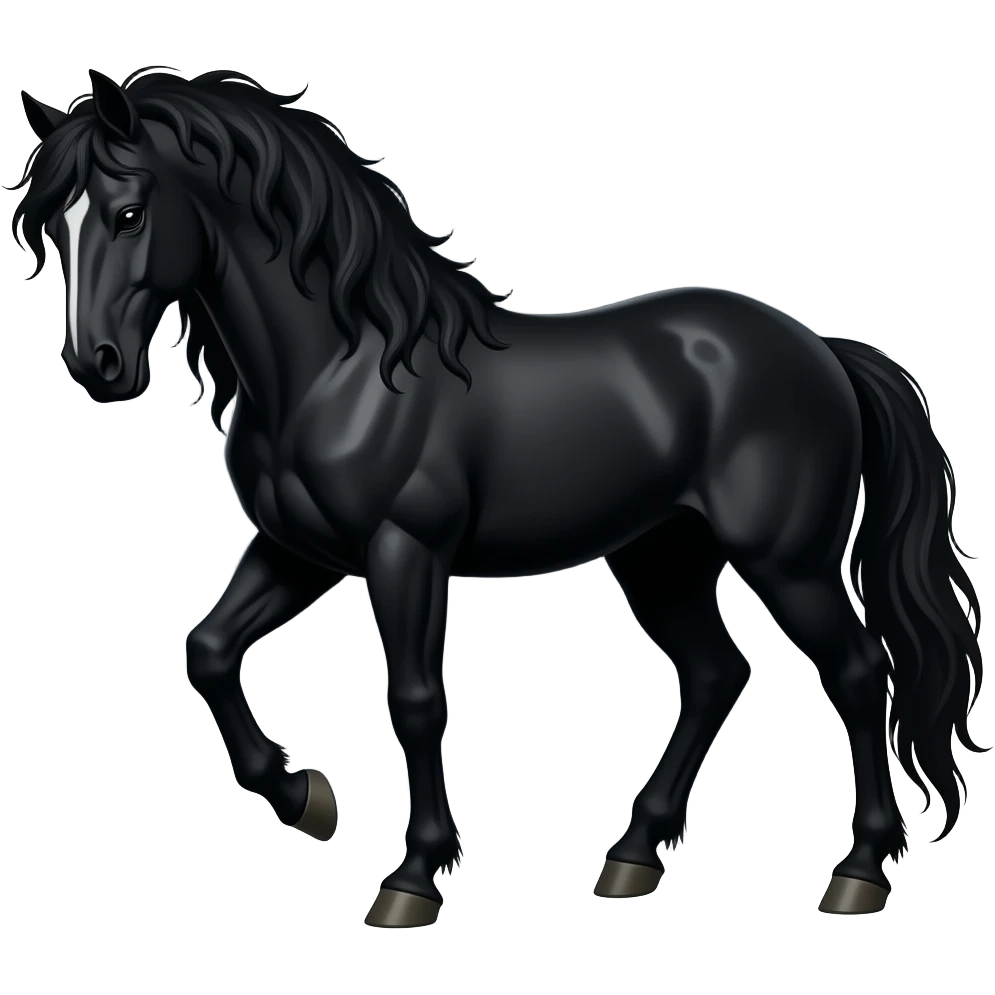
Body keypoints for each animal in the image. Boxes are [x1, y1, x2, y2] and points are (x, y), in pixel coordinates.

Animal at [11, 67, 987, 926]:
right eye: (52, 230)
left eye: (128, 212)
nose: (96, 367)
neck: (340, 368)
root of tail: (823, 350)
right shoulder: (298, 552)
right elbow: (208, 650)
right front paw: (306, 798)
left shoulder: (404, 551)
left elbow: (414, 700)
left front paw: (412, 878)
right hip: (662, 559)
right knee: (716, 673)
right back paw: (632, 856)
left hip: (789, 562)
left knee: (857, 672)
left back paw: (858, 872)